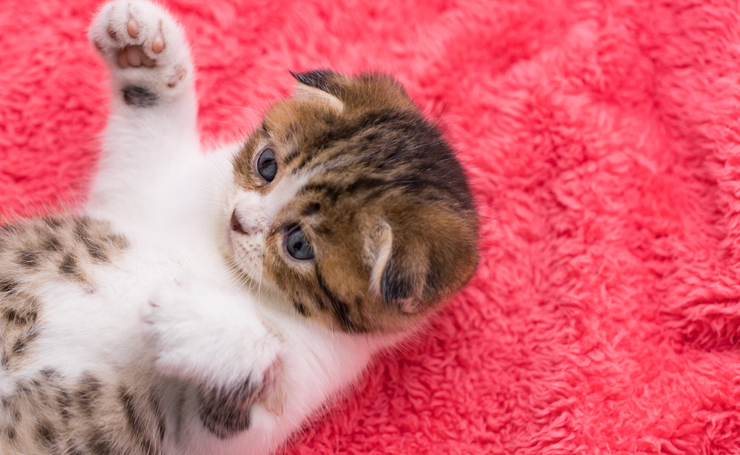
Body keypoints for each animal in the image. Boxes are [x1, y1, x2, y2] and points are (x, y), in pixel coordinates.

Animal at [0, 0, 480, 455]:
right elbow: (143, 151)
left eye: (299, 244)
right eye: (266, 164)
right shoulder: (139, 200)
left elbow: (253, 381)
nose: (238, 219)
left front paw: (197, 322)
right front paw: (144, 52)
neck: (222, 259)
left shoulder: (250, 414)